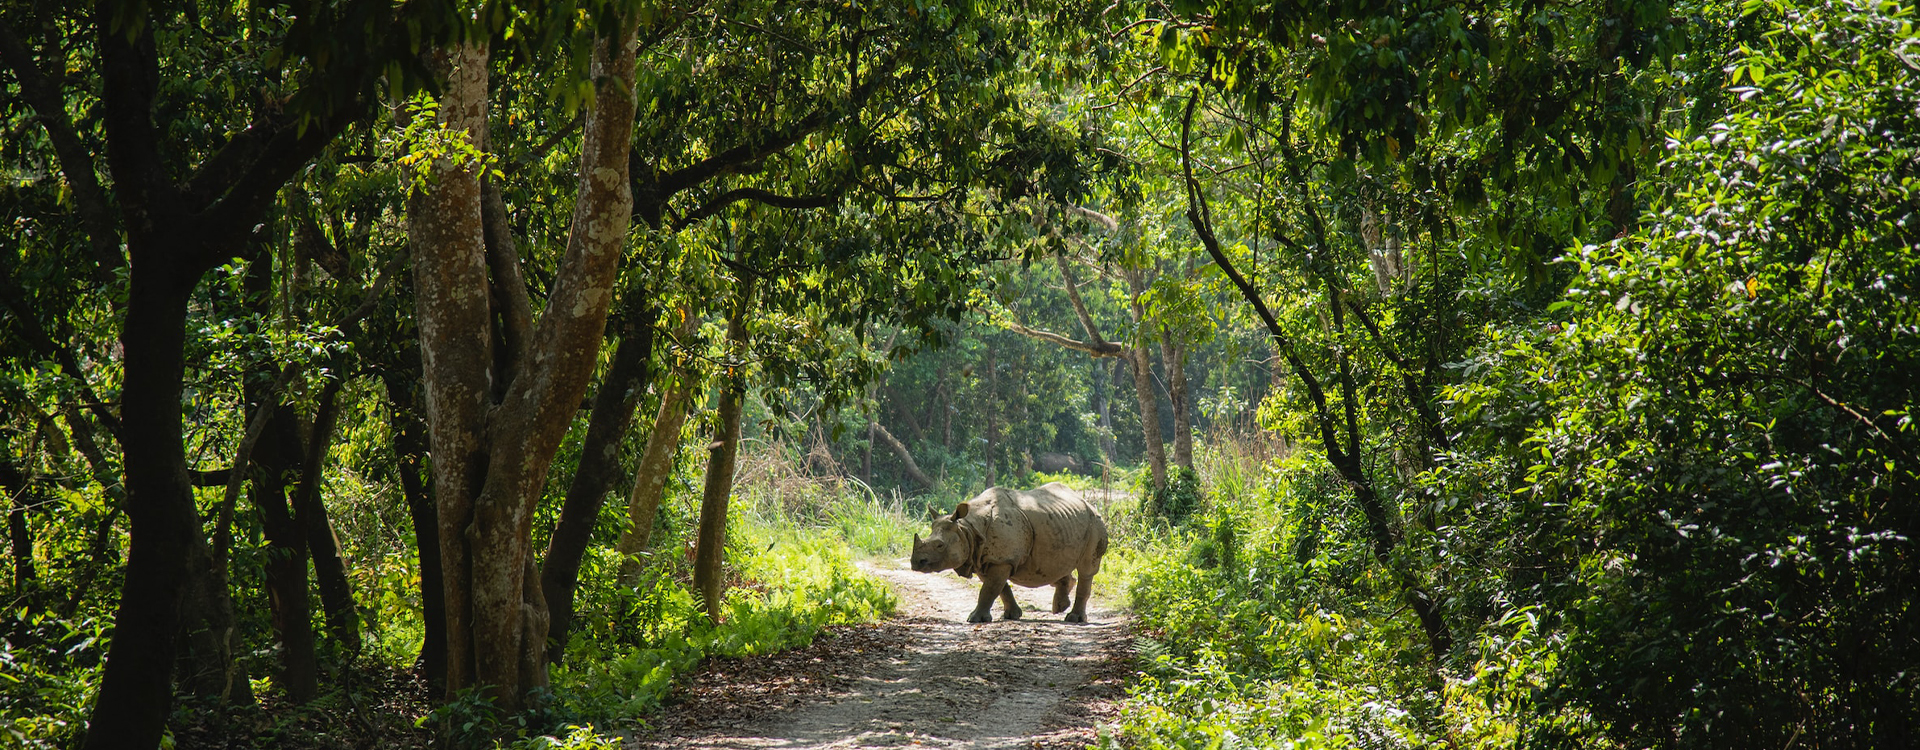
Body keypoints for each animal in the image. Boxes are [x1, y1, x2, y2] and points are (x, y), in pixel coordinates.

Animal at [910, 482, 1109, 624]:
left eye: (939, 545)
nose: (915, 563)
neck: (967, 529)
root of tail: (1089, 503)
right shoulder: (984, 559)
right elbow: (1000, 588)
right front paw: (1012, 615)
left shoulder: (1001, 559)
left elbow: (989, 589)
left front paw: (974, 619)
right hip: (1062, 522)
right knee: (1055, 565)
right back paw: (1060, 607)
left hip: (1095, 522)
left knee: (1086, 570)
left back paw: (1074, 619)